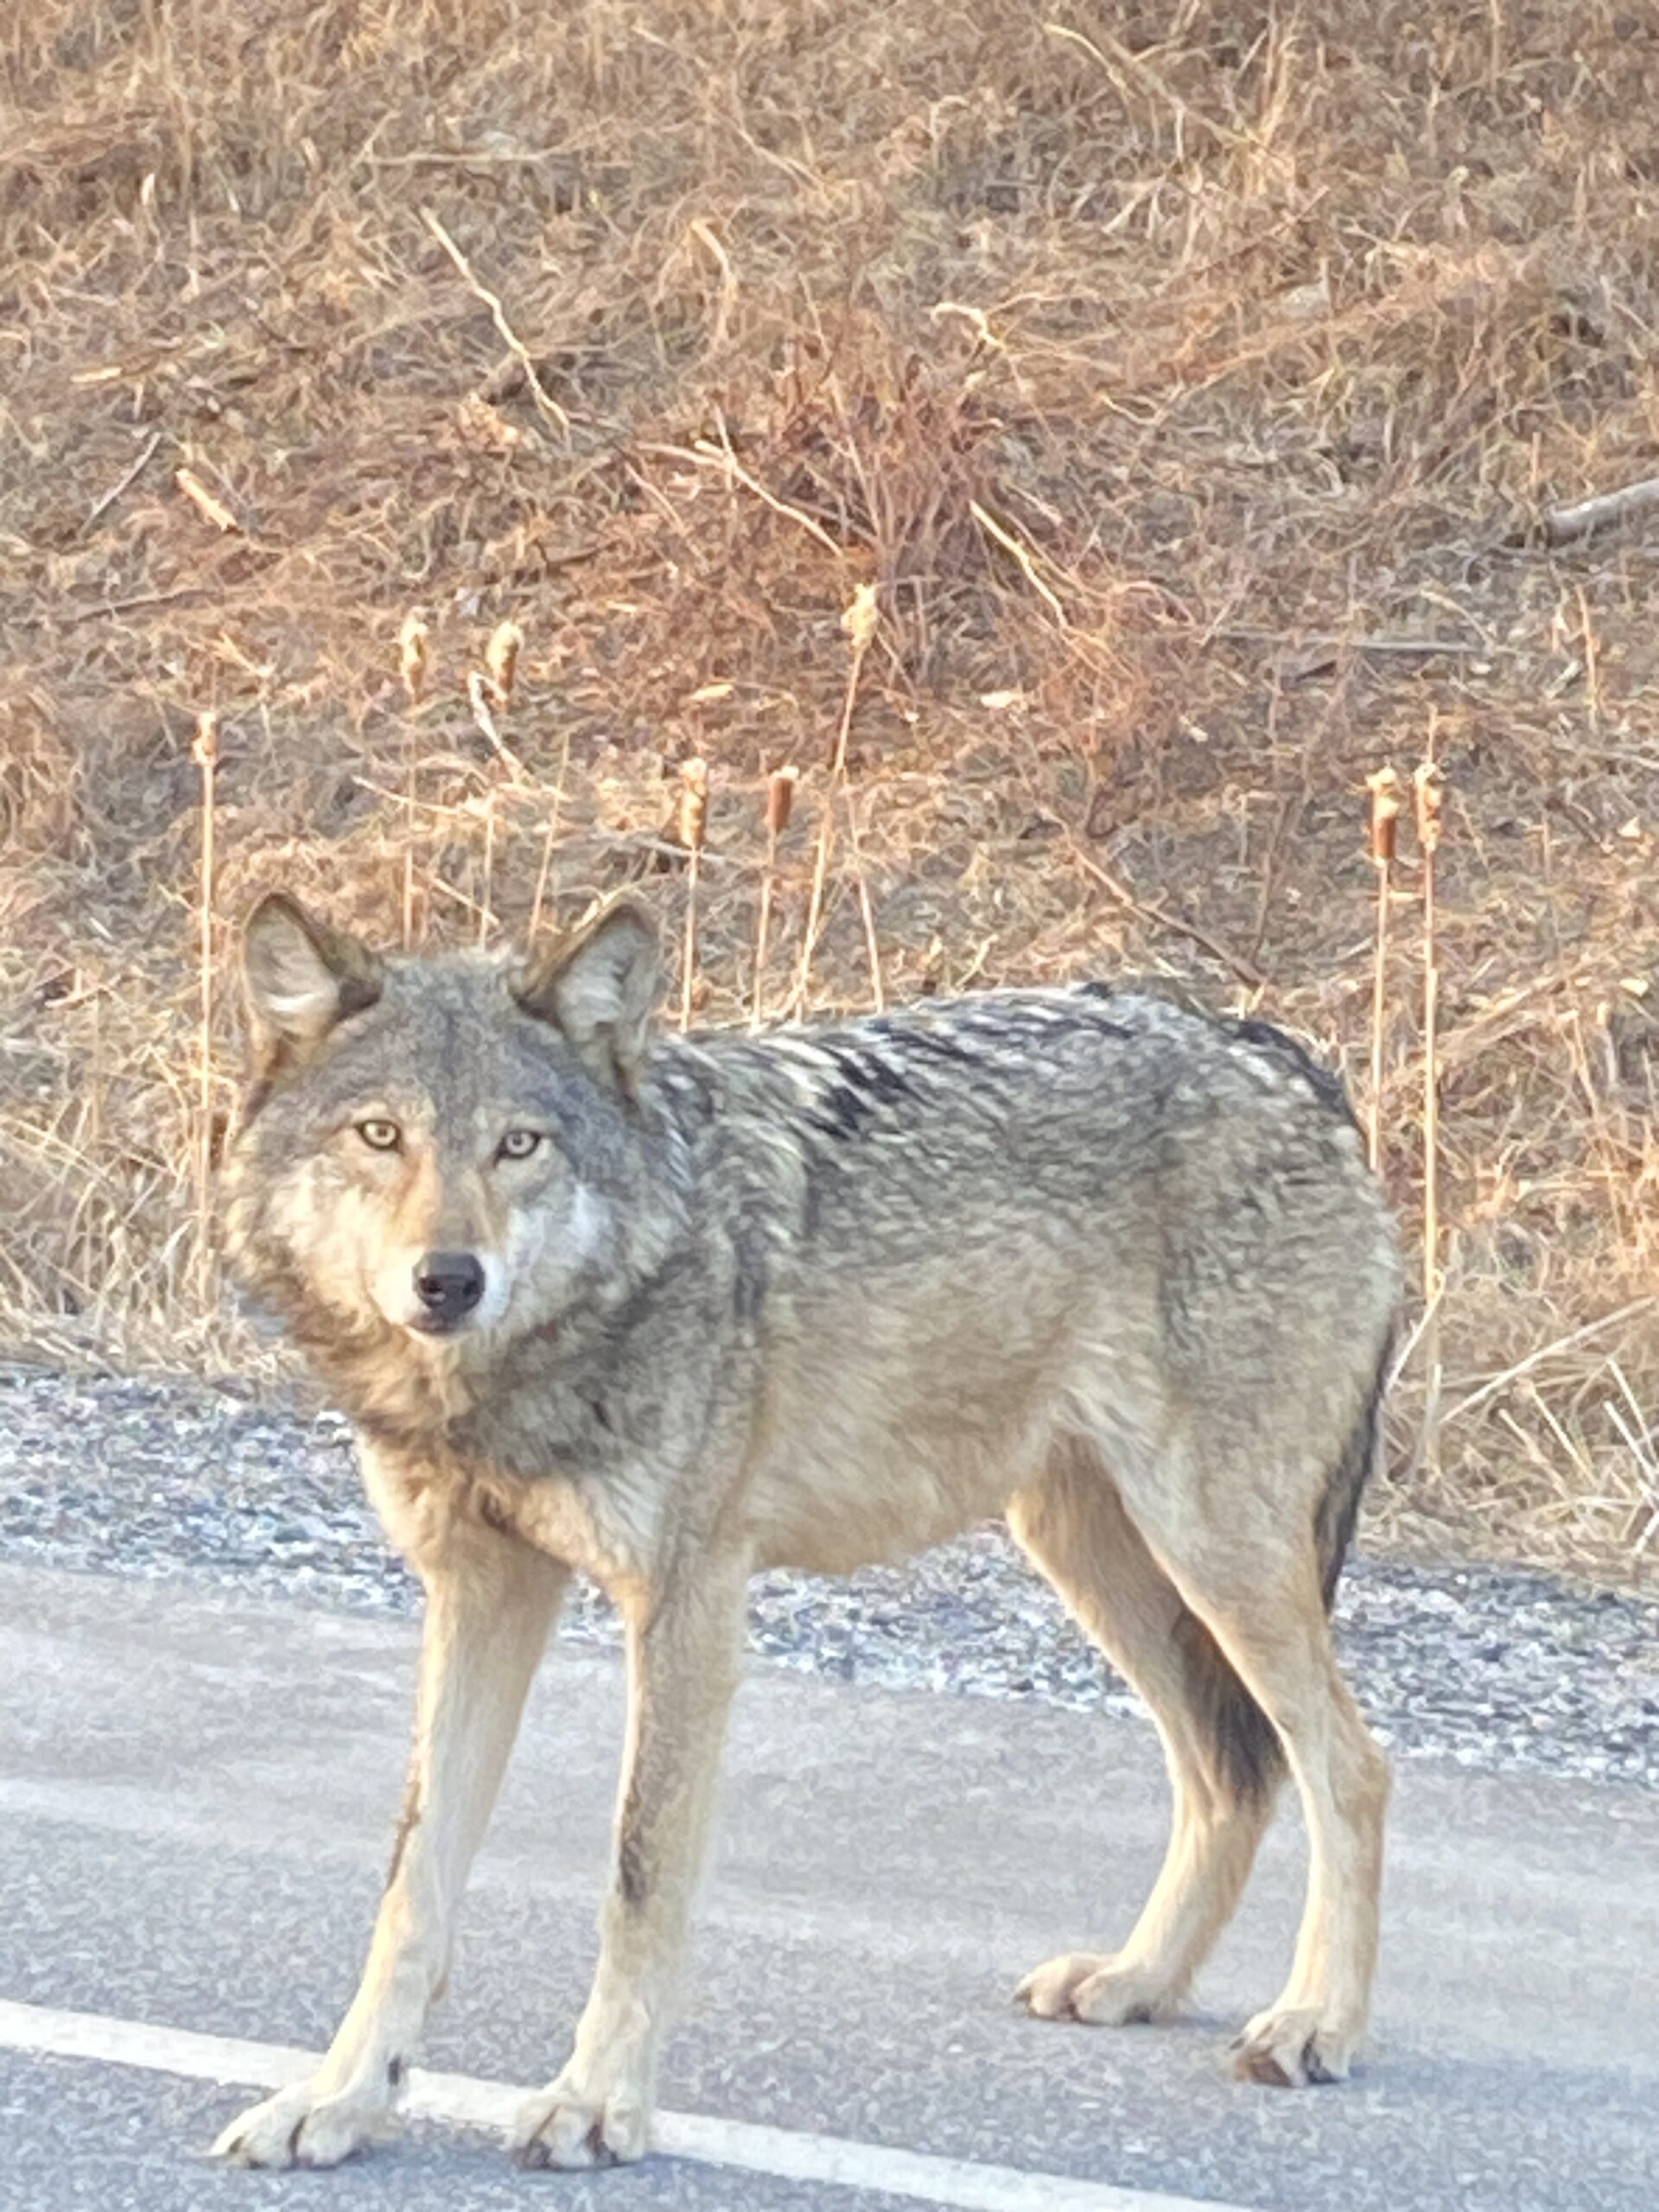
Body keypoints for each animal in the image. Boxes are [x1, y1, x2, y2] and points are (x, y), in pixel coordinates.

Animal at [210, 889, 1399, 2173]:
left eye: (518, 1145)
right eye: (381, 1136)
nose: (449, 1279)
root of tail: (1285, 1052)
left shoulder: (689, 1603)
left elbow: (639, 1877)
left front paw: (597, 2104)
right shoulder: (481, 1591)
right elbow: (412, 1885)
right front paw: (338, 2100)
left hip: (1213, 1550)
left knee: (1350, 1767)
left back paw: (1317, 2024)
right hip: (1092, 1550)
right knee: (1230, 1771)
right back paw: (1139, 1980)